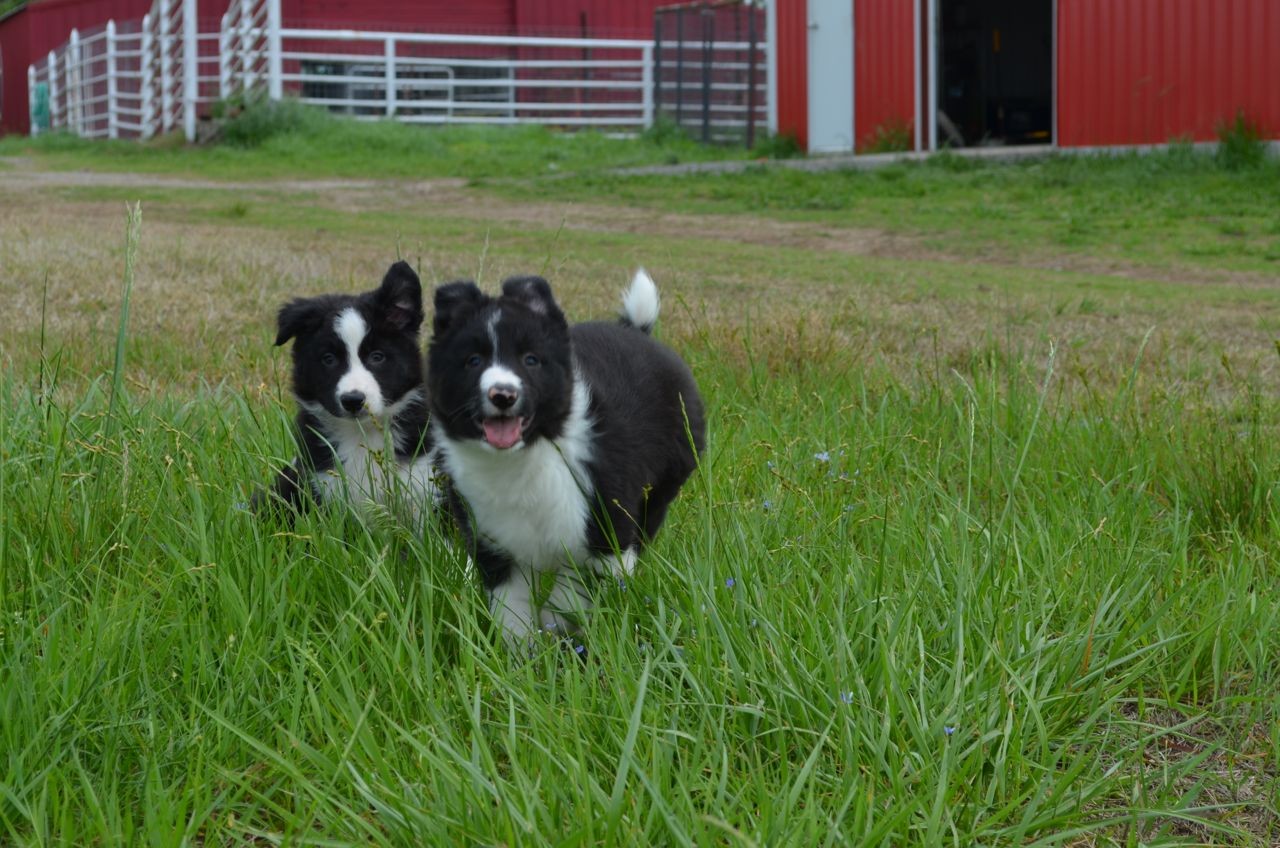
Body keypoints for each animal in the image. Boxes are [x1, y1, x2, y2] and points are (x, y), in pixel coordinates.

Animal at [257, 261, 442, 525]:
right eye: (328, 359)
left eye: (377, 356)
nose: (353, 400)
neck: (362, 434)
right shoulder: (320, 483)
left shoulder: (422, 480)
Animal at [430, 269, 711, 648]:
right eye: (473, 361)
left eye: (531, 359)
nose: (503, 394)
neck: (525, 457)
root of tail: (637, 331)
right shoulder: (492, 542)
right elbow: (511, 612)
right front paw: (521, 654)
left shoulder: (605, 526)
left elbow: (574, 588)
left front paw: (556, 624)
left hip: (662, 485)